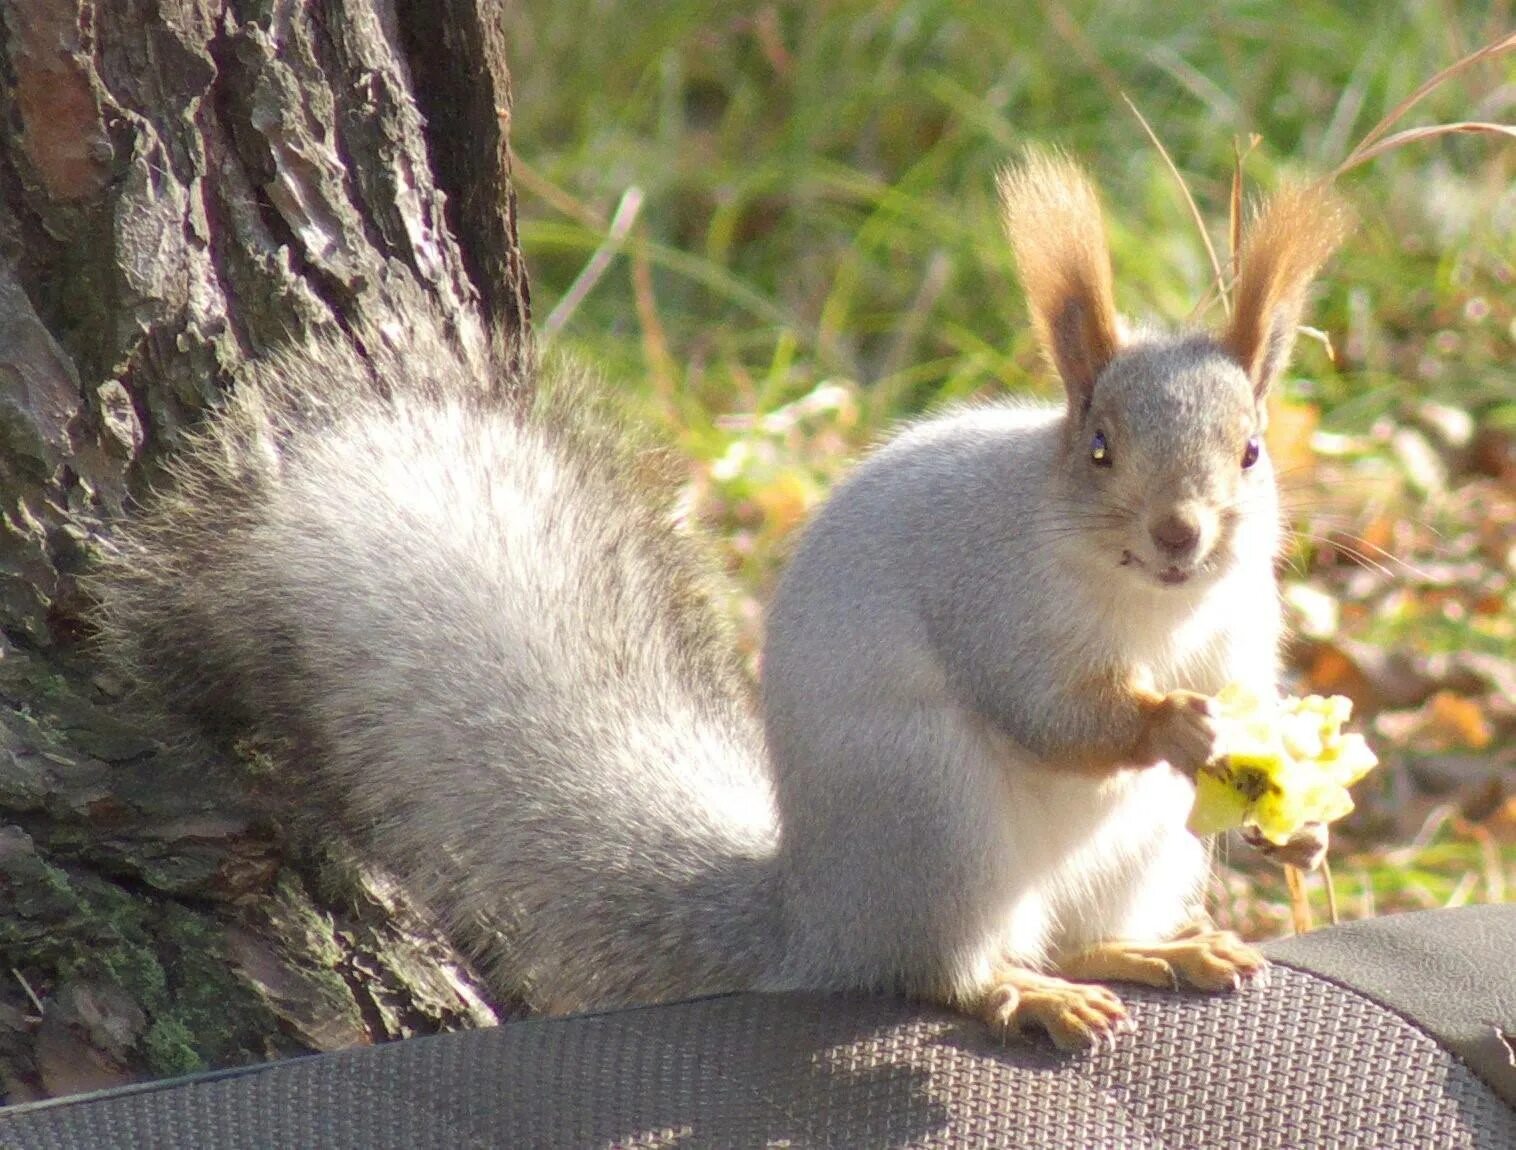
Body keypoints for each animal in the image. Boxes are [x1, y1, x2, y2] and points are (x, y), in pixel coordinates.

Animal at [94, 153, 1346, 1054]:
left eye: (1249, 451)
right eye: (1097, 449)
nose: (1180, 534)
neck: (1155, 616)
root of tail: (816, 914)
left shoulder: (1238, 624)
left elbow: (1247, 683)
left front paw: (1288, 802)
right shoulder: (990, 599)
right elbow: (1048, 711)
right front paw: (1168, 722)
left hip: (1142, 848)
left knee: (1080, 934)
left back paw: (1152, 953)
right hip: (929, 814)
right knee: (945, 969)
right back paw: (1022, 993)